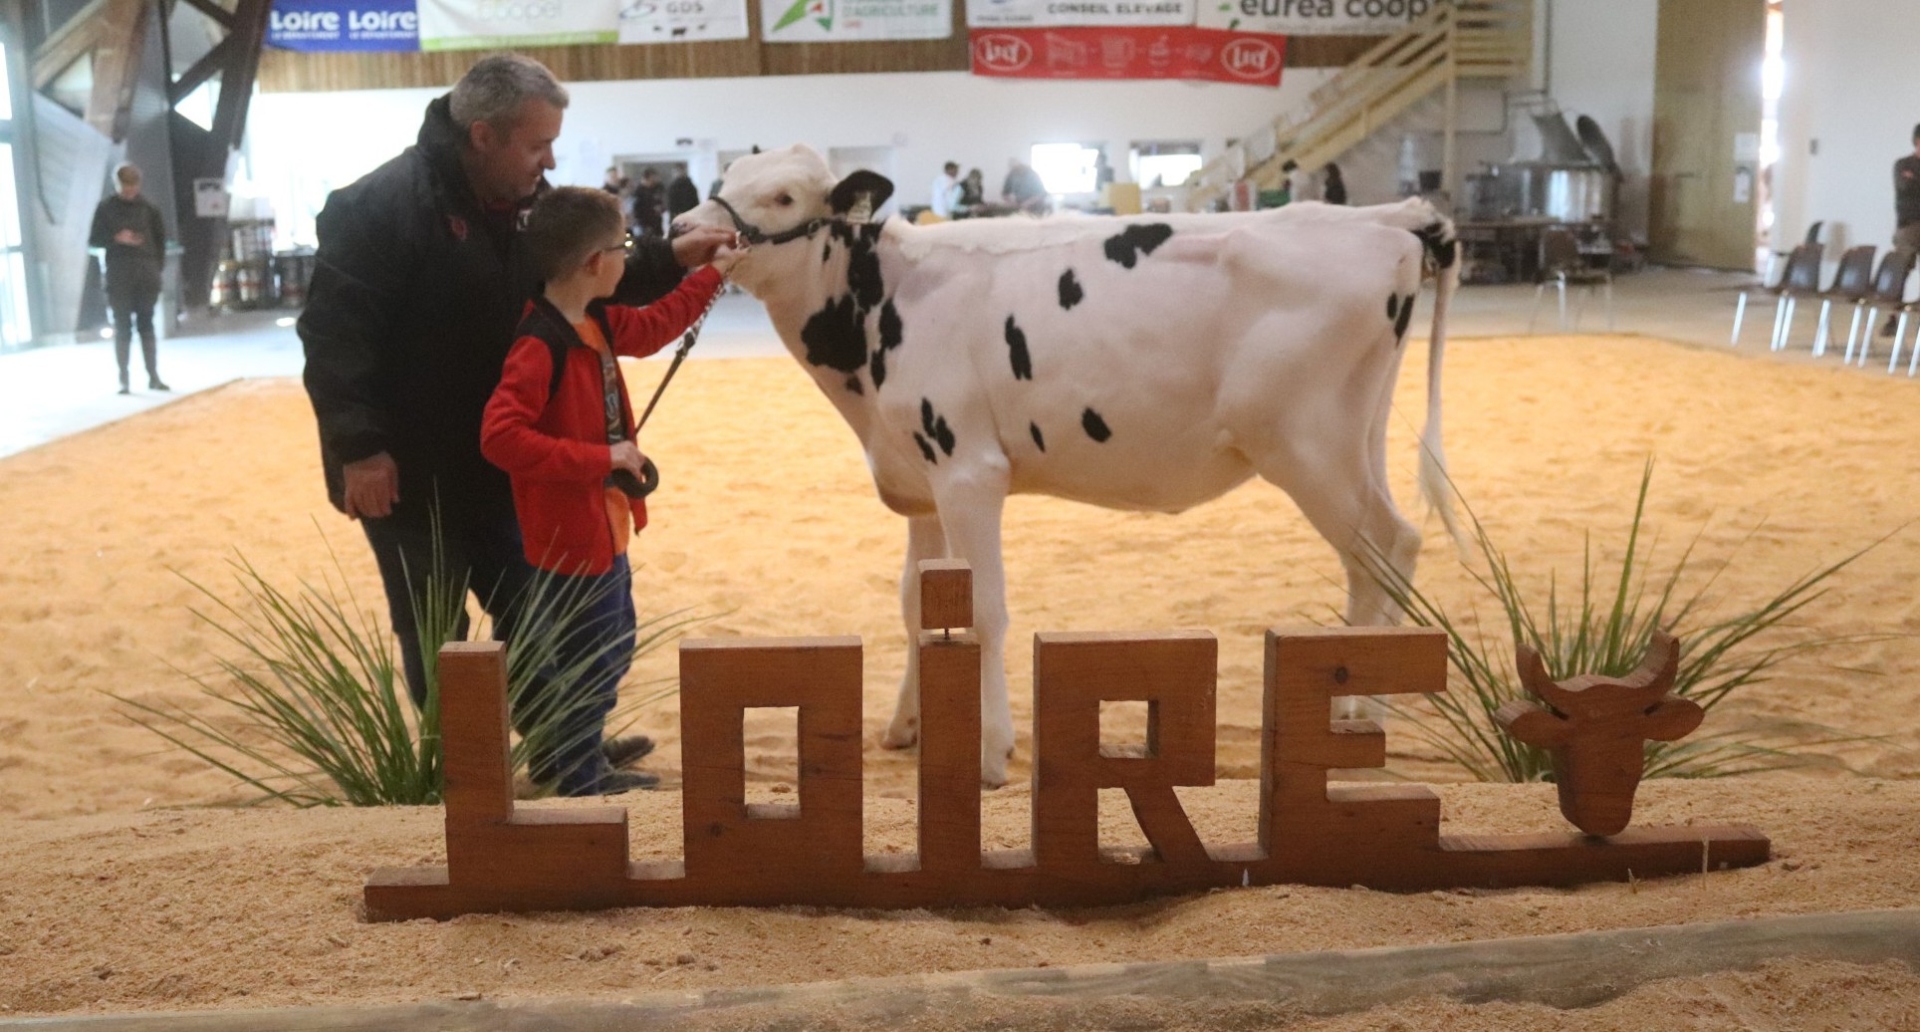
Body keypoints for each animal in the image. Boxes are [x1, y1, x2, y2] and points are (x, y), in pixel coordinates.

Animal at [683, 144, 1459, 782]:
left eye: (784, 196)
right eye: (722, 182)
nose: (686, 232)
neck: (882, 304)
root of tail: (1387, 220)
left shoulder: (969, 472)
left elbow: (983, 611)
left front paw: (990, 752)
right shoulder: (917, 478)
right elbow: (914, 605)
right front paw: (908, 727)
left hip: (1306, 446)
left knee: (1388, 544)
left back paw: (1366, 712)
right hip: (1357, 436)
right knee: (1372, 556)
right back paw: (1352, 708)